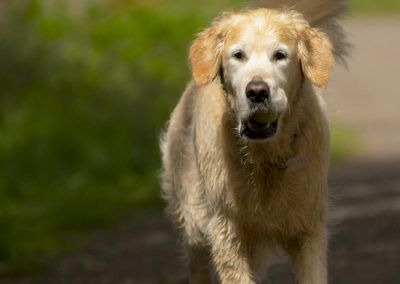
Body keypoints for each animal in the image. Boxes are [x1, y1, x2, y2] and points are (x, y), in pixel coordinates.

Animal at [161, 1, 348, 282]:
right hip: (193, 213)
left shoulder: (308, 226)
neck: (263, 157)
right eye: (238, 55)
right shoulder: (226, 229)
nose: (257, 91)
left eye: (280, 55)